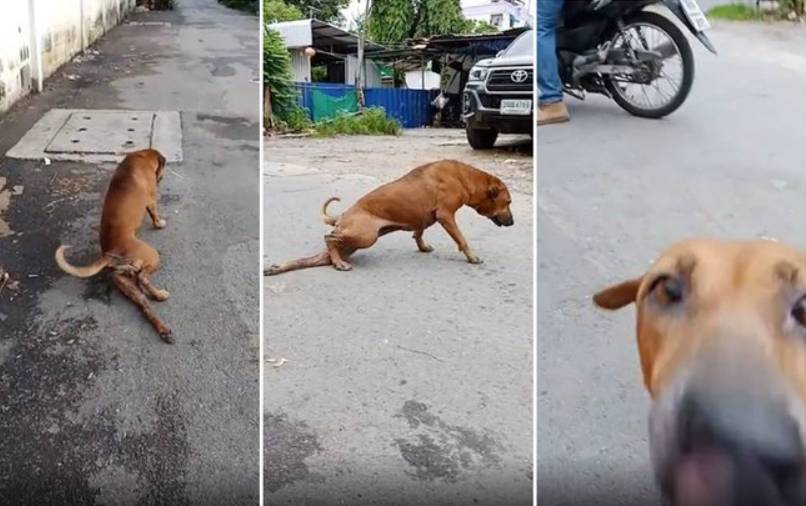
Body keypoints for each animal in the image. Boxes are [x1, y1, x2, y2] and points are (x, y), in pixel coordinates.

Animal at [54, 148, 174, 342]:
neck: (142, 156)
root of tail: (110, 253)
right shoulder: (151, 199)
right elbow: (154, 213)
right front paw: (160, 223)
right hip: (152, 255)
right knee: (143, 277)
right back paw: (160, 296)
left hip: (125, 282)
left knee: (143, 302)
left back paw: (163, 326)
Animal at [266, 159, 516, 274]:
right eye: (508, 202)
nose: (513, 222)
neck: (465, 178)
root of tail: (341, 217)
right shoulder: (445, 216)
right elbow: (462, 240)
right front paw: (472, 257)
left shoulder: (424, 217)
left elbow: (419, 232)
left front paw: (422, 246)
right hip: (365, 236)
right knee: (328, 239)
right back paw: (338, 263)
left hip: (352, 244)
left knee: (316, 256)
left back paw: (278, 267)